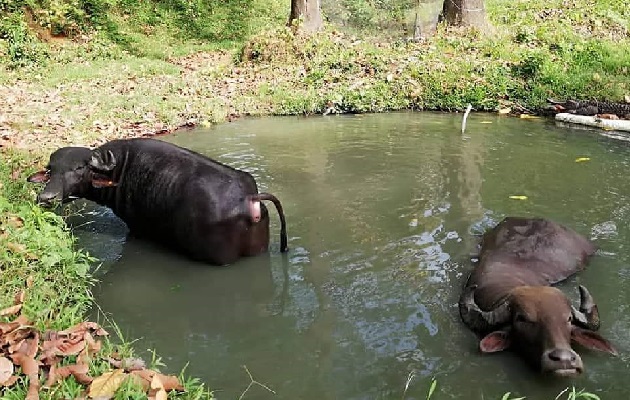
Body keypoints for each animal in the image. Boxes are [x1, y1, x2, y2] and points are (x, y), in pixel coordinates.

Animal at [27, 138, 288, 266]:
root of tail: (249, 198)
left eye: (79, 168)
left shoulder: (136, 228)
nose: (46, 198)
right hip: (258, 249)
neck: (119, 172)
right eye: (50, 170)